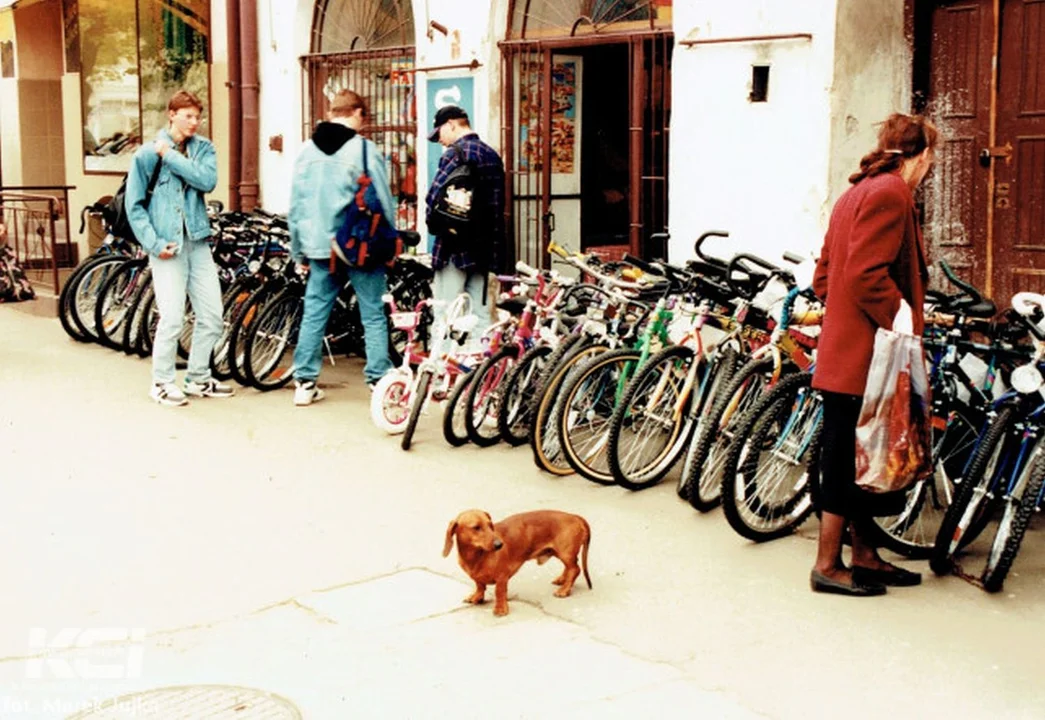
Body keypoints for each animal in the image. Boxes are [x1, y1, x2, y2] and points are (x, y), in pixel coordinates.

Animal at [438, 507, 589, 614]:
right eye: (476, 527)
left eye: (490, 525)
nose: (499, 545)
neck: (477, 556)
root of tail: (574, 516)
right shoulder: (477, 577)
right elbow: (479, 585)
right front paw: (476, 596)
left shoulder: (502, 577)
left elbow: (499, 592)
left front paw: (500, 609)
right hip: (562, 554)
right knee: (570, 568)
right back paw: (562, 580)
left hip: (565, 553)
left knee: (575, 569)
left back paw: (564, 590)